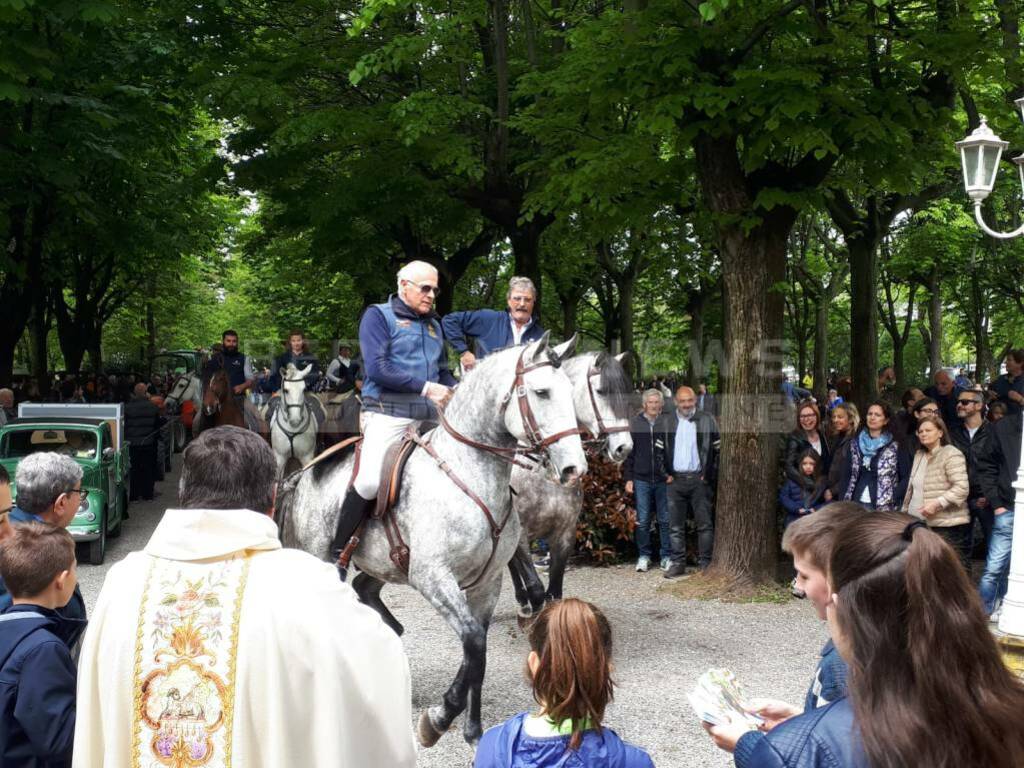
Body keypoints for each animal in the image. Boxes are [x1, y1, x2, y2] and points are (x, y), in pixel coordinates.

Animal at [276, 335, 589, 745]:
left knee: (365, 590)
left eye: (570, 391)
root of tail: (306, 473)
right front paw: (439, 718)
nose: (574, 469)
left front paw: (472, 730)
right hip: (328, 560)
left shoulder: (487, 583)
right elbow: (474, 643)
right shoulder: (433, 577)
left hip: (384, 564)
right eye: (541, 392)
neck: (469, 474)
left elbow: (477, 652)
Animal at [509, 352, 634, 622]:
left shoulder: (565, 533)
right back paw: (522, 603)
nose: (624, 448)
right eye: (600, 391)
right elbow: (535, 587)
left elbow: (555, 589)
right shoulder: (520, 535)